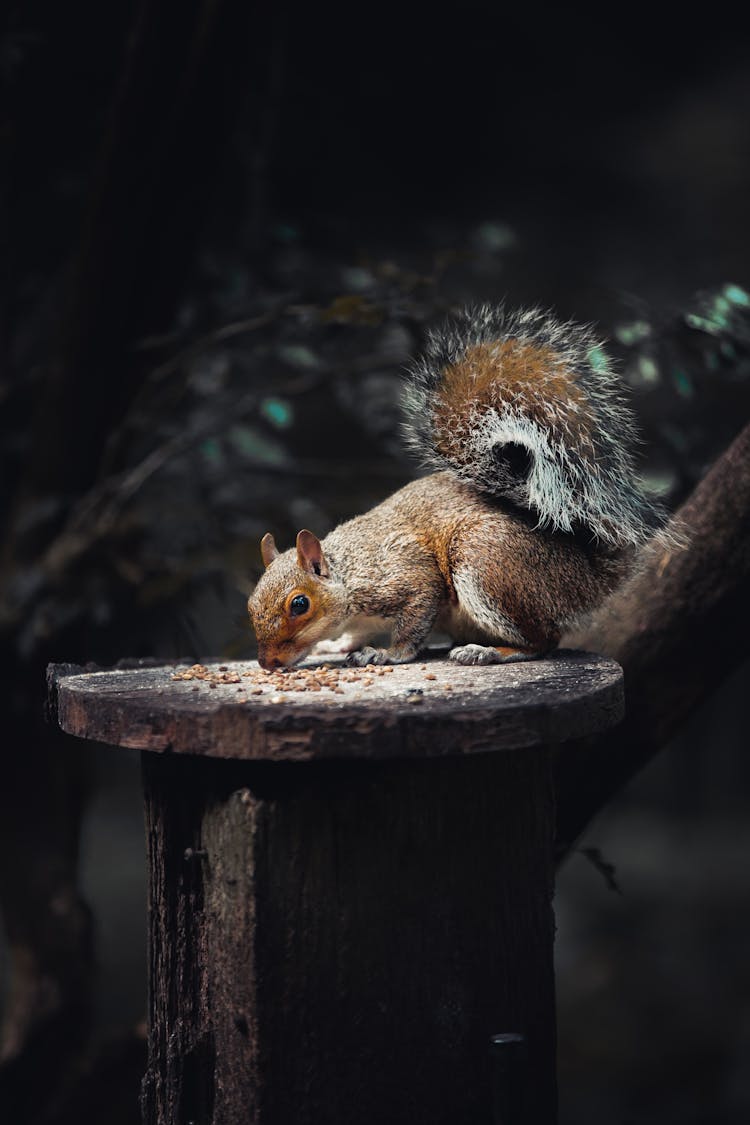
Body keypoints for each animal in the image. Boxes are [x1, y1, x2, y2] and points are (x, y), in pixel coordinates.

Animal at [247, 301, 661, 666]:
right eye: (250, 603)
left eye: (300, 604)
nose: (268, 663)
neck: (348, 575)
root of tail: (587, 579)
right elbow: (356, 633)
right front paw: (336, 646)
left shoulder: (407, 576)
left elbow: (414, 621)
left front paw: (386, 654)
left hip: (485, 560)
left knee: (543, 641)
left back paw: (488, 652)